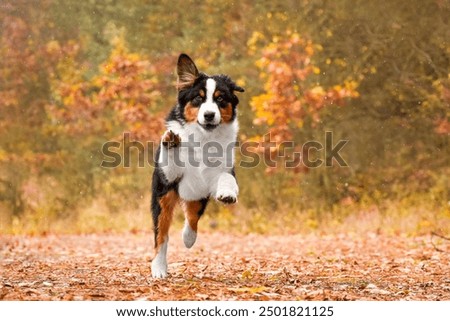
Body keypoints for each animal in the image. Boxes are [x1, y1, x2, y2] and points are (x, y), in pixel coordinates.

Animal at [151, 53, 244, 276]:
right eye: (198, 99)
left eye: (220, 99)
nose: (209, 115)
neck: (203, 138)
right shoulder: (168, 177)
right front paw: (170, 141)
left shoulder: (219, 171)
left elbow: (226, 178)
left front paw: (228, 194)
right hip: (163, 199)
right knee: (161, 235)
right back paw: (159, 268)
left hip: (197, 195)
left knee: (192, 217)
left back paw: (188, 238)